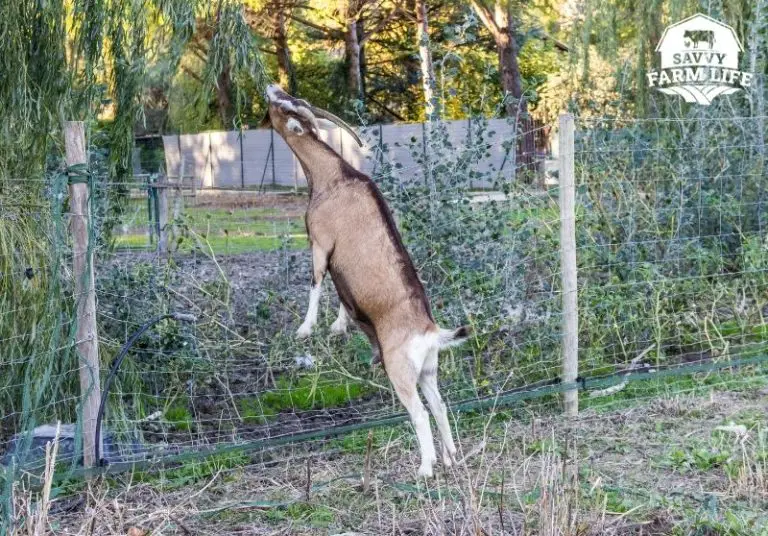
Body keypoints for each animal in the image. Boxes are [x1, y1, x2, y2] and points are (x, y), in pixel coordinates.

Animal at [264, 85, 470, 477]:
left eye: (284, 107)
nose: (272, 88)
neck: (334, 177)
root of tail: (430, 333)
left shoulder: (321, 242)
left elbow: (316, 281)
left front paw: (306, 329)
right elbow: (338, 294)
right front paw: (337, 326)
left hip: (400, 371)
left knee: (420, 413)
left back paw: (426, 468)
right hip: (427, 371)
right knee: (439, 405)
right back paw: (452, 457)